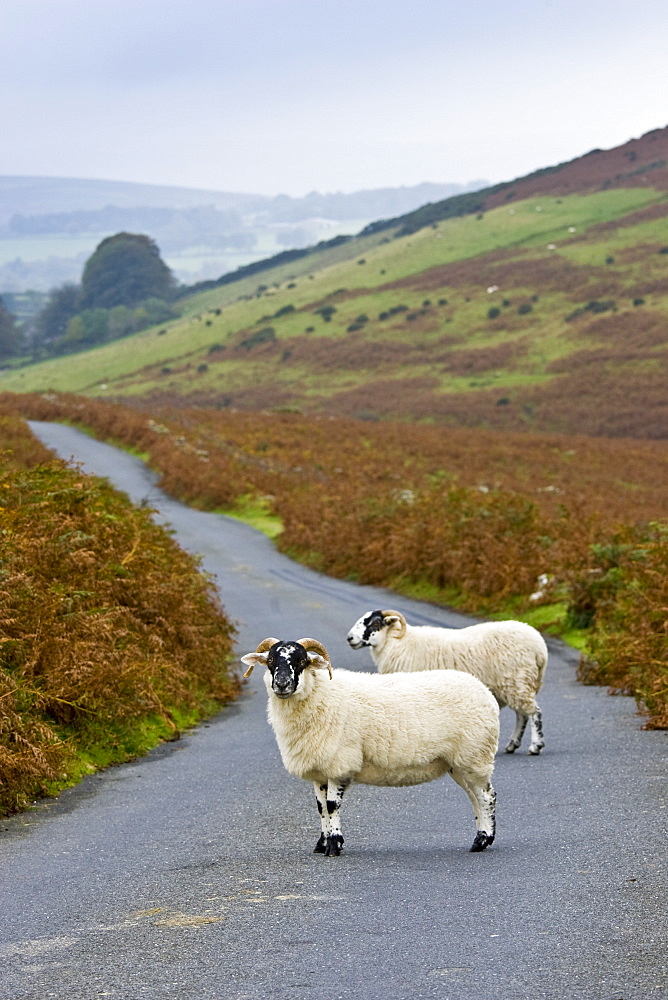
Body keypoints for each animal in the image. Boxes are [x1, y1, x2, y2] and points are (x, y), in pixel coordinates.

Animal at [239, 636, 496, 856]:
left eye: (302, 660)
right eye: (270, 660)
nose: (282, 684)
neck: (320, 694)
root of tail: (482, 688)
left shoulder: (339, 762)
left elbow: (331, 806)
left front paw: (335, 845)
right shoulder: (319, 767)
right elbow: (320, 807)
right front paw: (322, 843)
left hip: (475, 754)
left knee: (487, 796)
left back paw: (483, 840)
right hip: (458, 762)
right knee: (475, 797)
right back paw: (479, 838)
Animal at [348, 608, 544, 756]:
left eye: (374, 623)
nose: (350, 638)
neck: (398, 642)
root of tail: (539, 646)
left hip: (517, 681)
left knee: (534, 713)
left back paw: (535, 746)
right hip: (516, 683)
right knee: (522, 714)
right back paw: (512, 744)